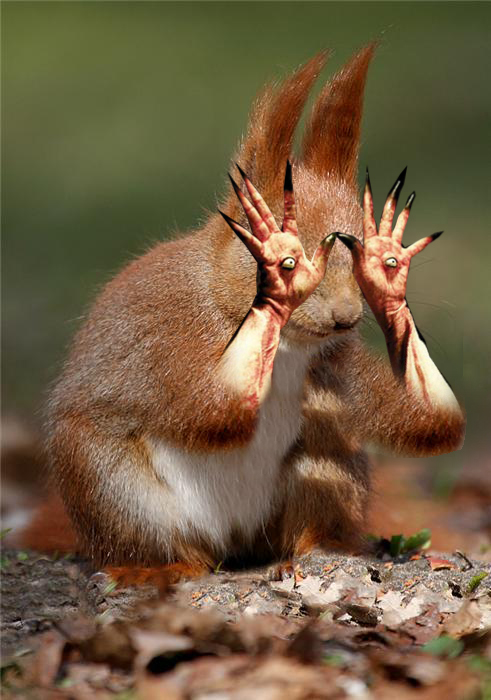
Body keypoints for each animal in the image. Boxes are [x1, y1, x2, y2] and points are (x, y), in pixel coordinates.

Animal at [18, 45, 465, 588]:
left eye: (365, 260)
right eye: (289, 258)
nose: (345, 317)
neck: (287, 348)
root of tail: (233, 542)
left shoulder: (335, 362)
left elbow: (434, 425)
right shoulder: (173, 334)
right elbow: (205, 411)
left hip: (325, 473)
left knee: (310, 507)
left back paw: (323, 550)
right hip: (112, 486)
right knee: (156, 544)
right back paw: (158, 568)